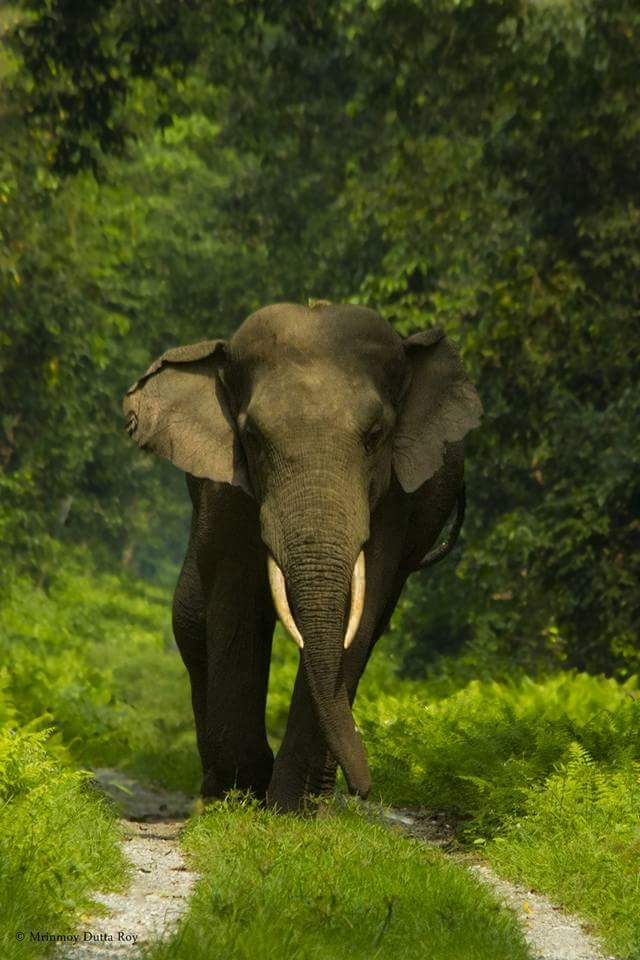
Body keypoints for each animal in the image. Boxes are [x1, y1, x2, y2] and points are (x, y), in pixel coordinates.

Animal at [123, 301, 482, 812]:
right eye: (252, 436)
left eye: (376, 435)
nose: (363, 788)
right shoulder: (226, 485)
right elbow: (236, 599)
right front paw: (246, 792)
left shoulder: (395, 499)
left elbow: (360, 611)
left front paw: (290, 809)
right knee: (190, 617)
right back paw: (217, 789)